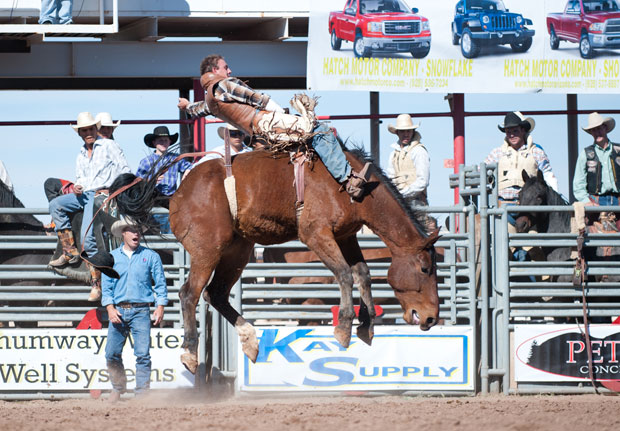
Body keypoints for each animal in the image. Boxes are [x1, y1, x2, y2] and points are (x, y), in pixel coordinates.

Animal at [112, 148, 440, 372]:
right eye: (425, 268)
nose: (431, 318)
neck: (351, 185)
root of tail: (176, 194)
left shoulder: (346, 236)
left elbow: (362, 273)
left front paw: (367, 324)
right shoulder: (315, 233)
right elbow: (345, 273)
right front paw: (345, 328)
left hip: (238, 250)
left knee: (215, 293)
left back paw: (250, 340)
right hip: (207, 250)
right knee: (189, 293)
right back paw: (191, 355)